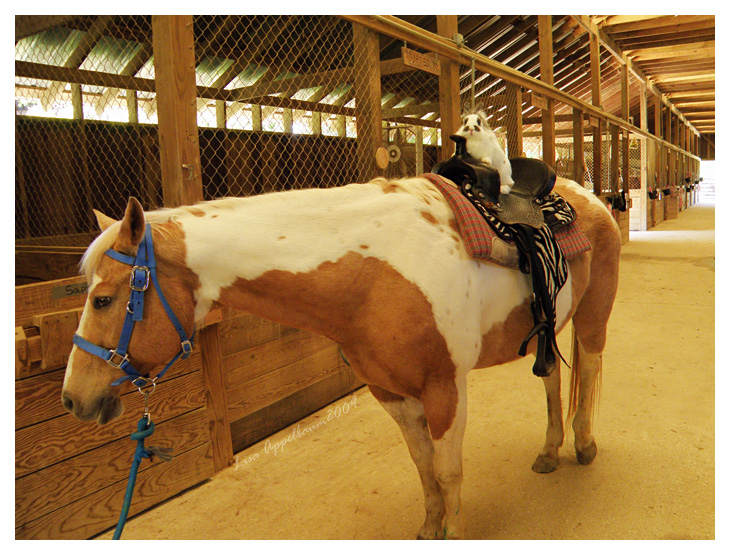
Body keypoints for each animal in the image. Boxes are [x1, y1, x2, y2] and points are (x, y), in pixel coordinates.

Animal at [61, 176, 620, 540]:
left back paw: (584, 445)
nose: (71, 399)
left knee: (590, 369)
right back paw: (549, 451)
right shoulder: (390, 391)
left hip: (593, 317)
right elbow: (422, 465)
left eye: (103, 299)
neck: (376, 269)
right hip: (547, 333)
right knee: (552, 380)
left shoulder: (445, 389)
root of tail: (589, 195)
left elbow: (448, 471)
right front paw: (430, 527)